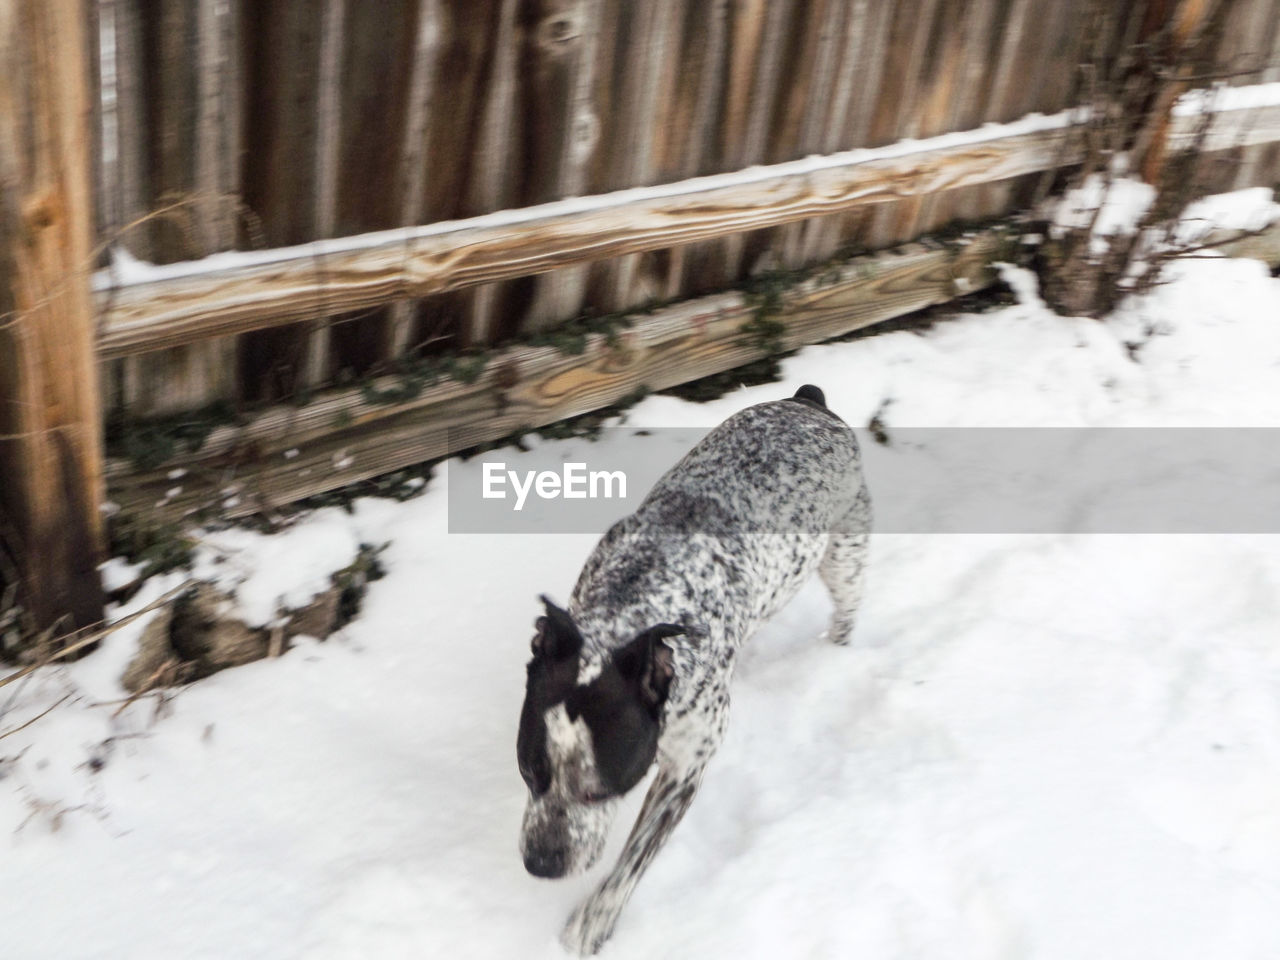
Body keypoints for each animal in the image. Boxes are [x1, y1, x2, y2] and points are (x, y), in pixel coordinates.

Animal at [517, 384, 870, 957]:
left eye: (600, 789)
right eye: (530, 771)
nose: (542, 863)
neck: (636, 600)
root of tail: (808, 401)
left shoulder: (683, 770)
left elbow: (633, 860)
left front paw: (593, 922)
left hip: (845, 553)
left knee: (846, 611)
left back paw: (835, 652)